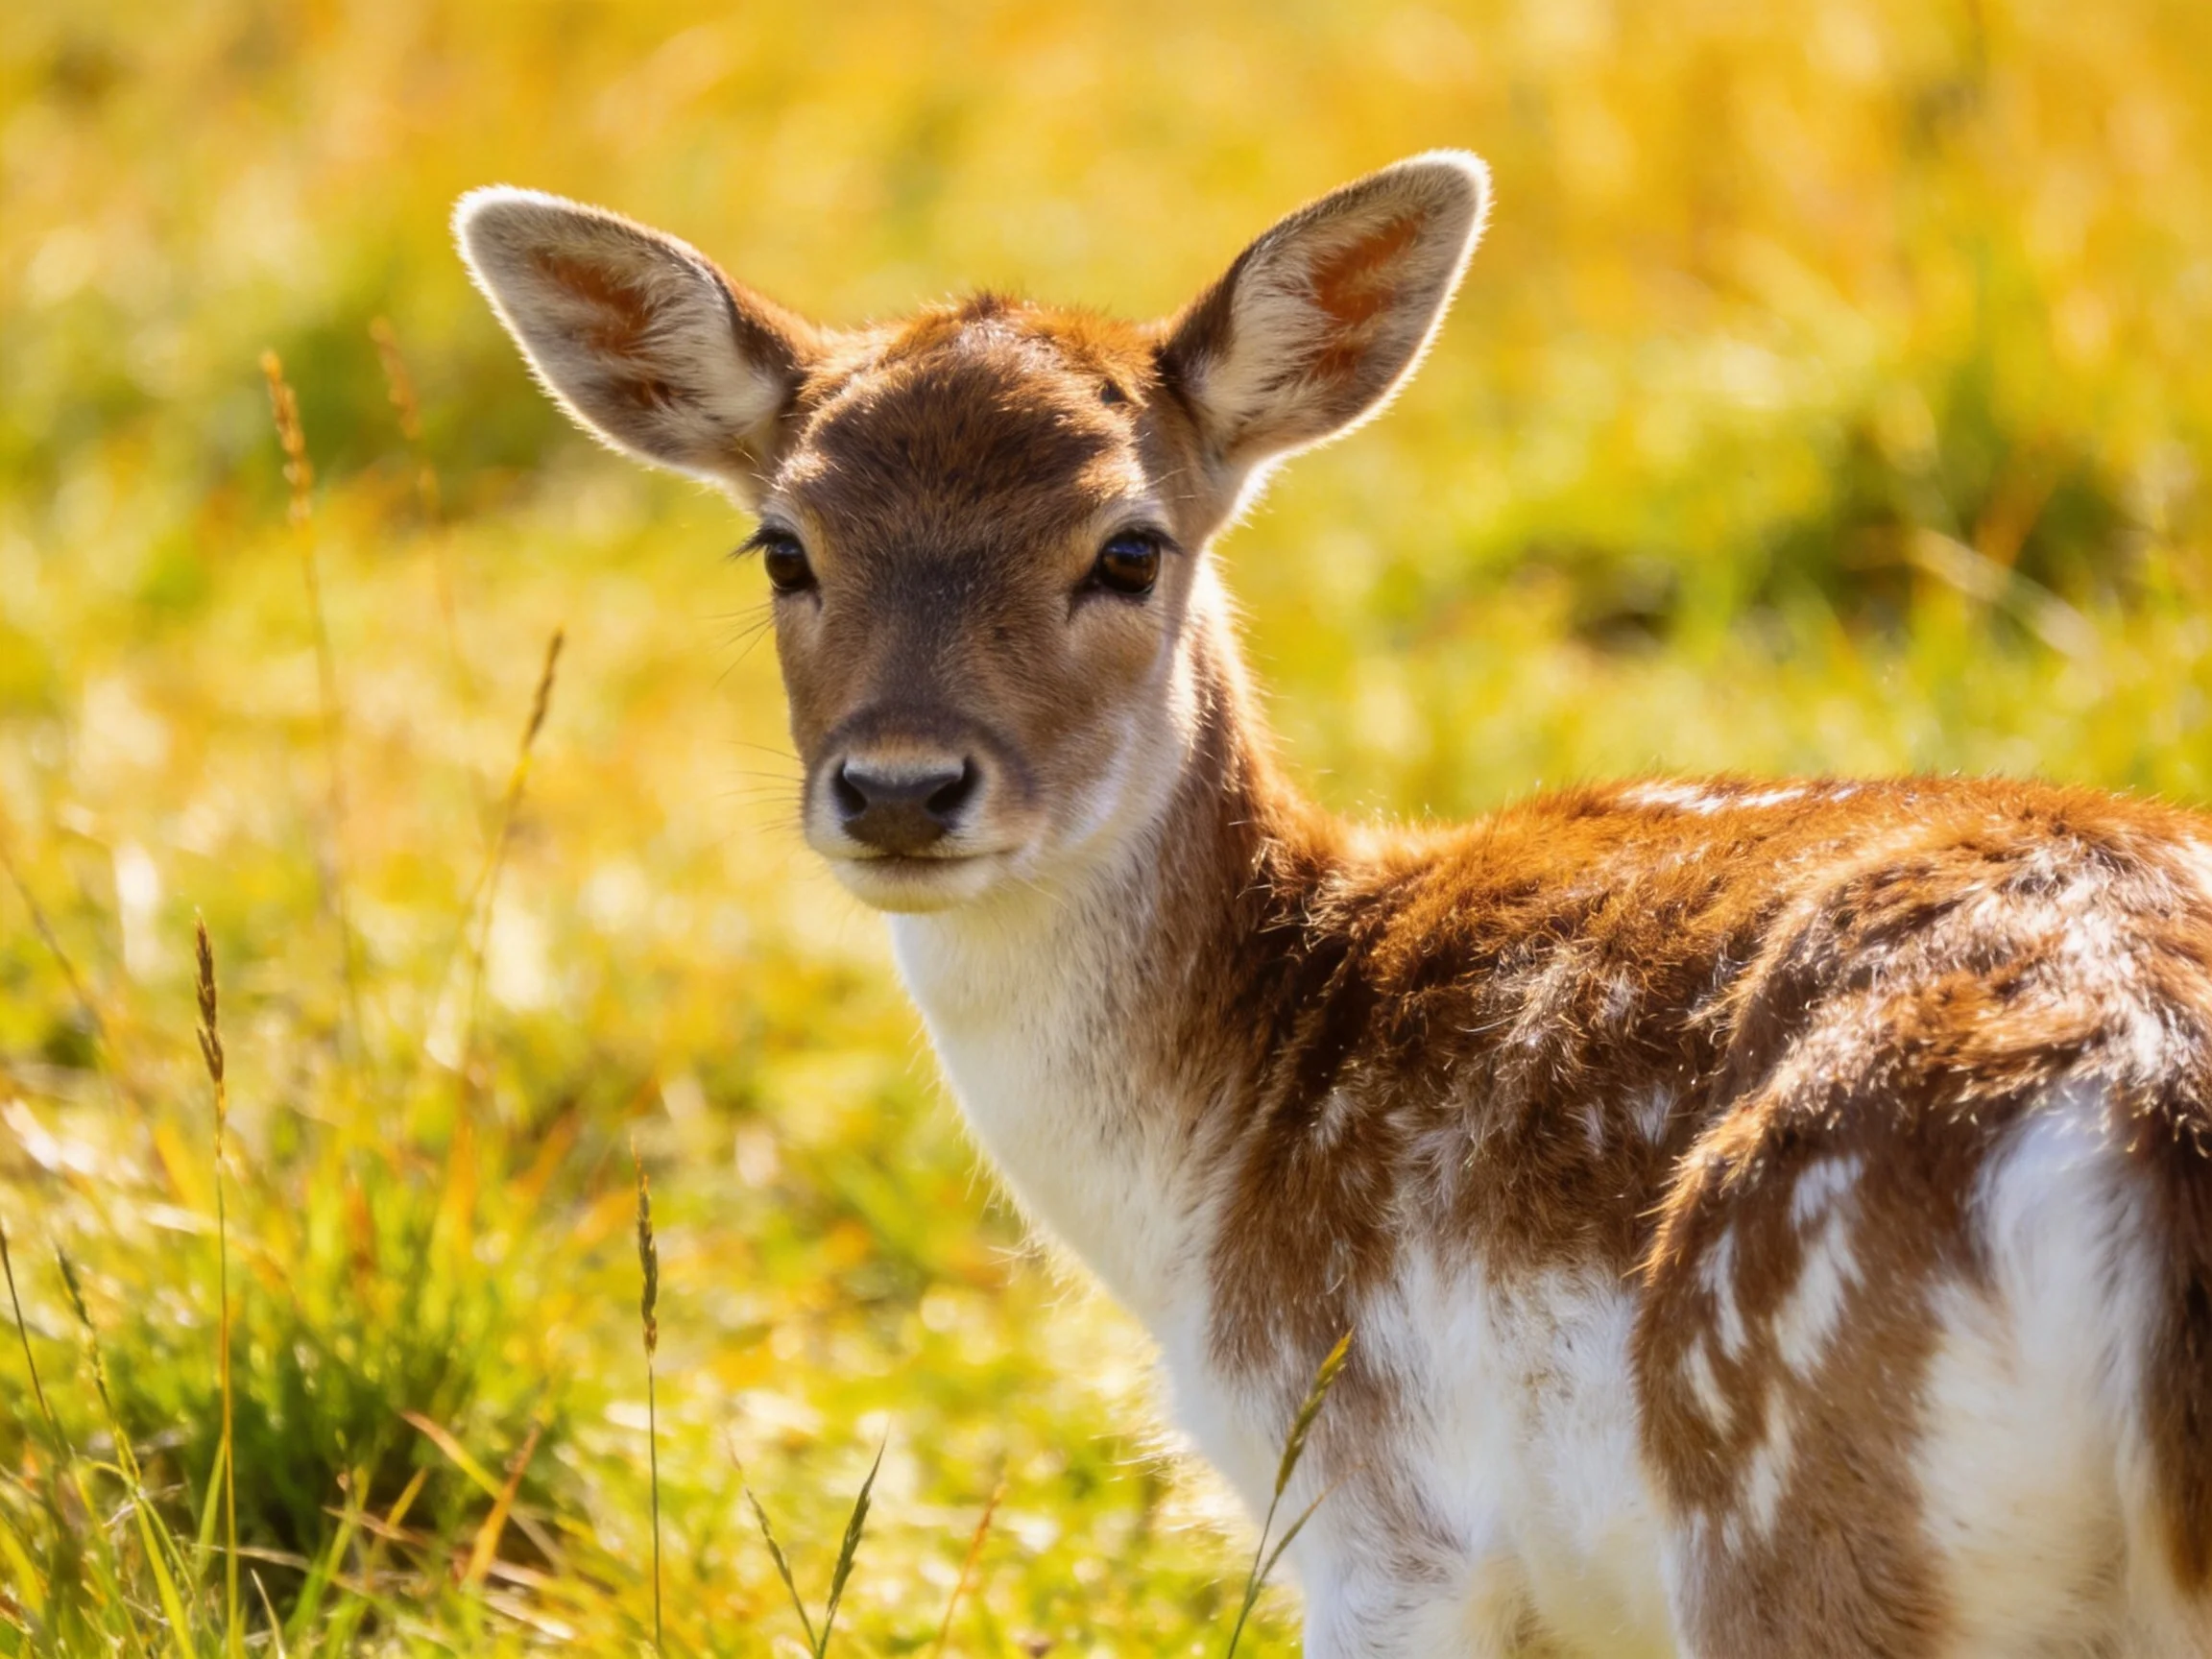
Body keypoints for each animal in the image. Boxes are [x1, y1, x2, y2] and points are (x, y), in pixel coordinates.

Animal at [456, 154, 2212, 1656]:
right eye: (782, 545)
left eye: (1128, 547)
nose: (898, 784)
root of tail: (2147, 1111)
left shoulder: (1383, 1515)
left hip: (1796, 1486)